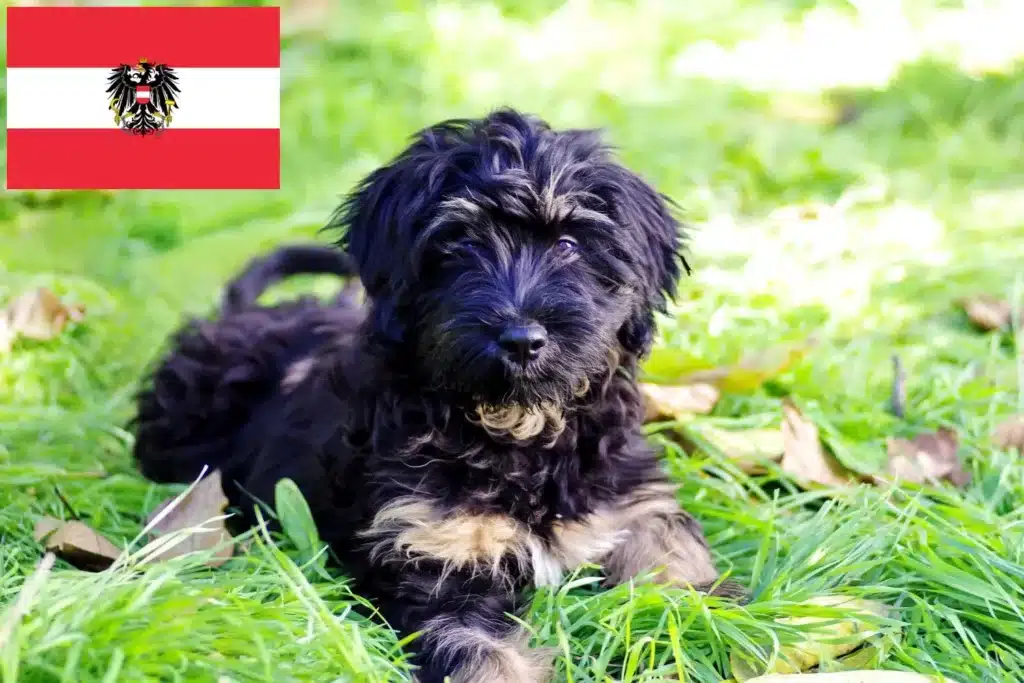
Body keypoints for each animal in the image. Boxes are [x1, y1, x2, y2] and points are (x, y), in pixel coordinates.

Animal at [136, 111, 745, 683]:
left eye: (569, 245)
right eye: (460, 245)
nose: (522, 338)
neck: (517, 434)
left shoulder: (633, 504)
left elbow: (675, 565)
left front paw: (705, 625)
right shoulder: (433, 554)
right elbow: (478, 651)